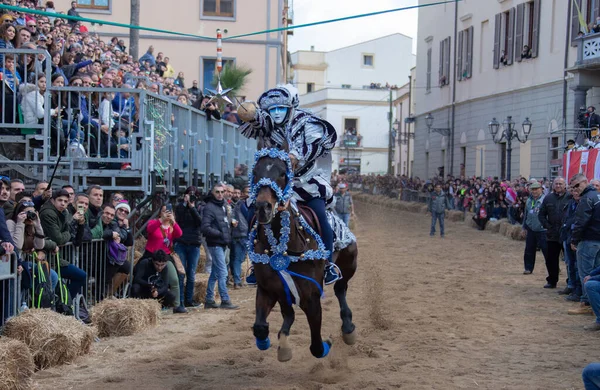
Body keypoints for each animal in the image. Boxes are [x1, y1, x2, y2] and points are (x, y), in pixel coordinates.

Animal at [247, 148, 356, 362]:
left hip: (349, 262)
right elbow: (260, 327)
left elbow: (316, 346)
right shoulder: (267, 289)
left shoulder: (311, 297)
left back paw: (348, 328)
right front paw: (269, 343)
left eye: (283, 173)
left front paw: (328, 342)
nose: (262, 207)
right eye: (255, 172)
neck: (282, 247)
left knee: (340, 288)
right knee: (288, 313)